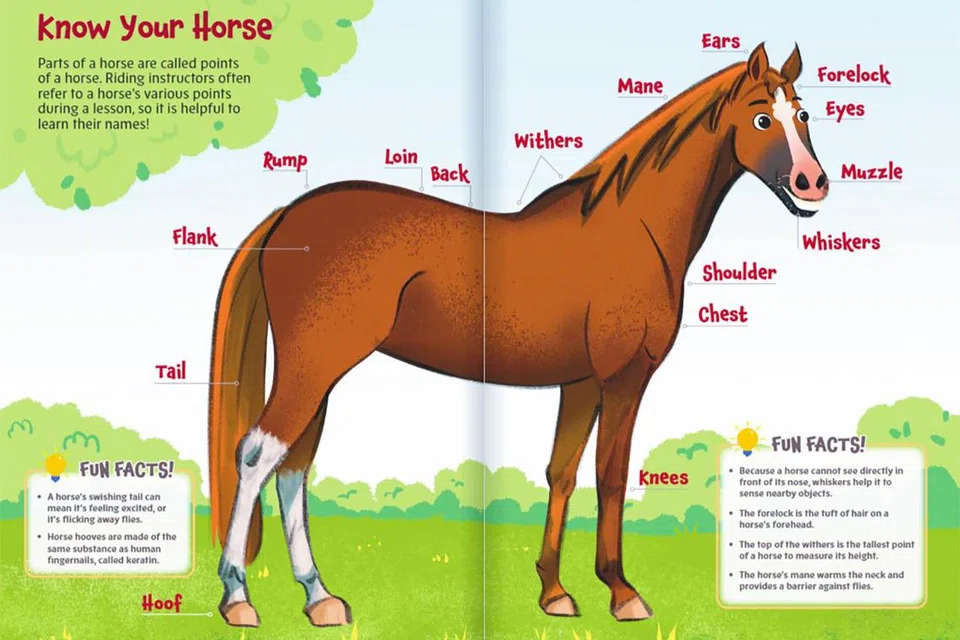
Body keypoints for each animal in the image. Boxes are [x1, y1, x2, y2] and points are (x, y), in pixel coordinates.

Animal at [208, 41, 829, 628]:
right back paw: (238, 597)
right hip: (315, 365)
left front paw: (554, 593)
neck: (632, 229)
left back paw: (320, 598)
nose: (813, 184)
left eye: (802, 113)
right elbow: (610, 475)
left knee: (292, 466)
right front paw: (621, 593)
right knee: (258, 455)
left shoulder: (580, 383)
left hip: (321, 373)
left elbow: (562, 473)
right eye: (761, 118)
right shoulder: (624, 378)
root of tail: (287, 216)